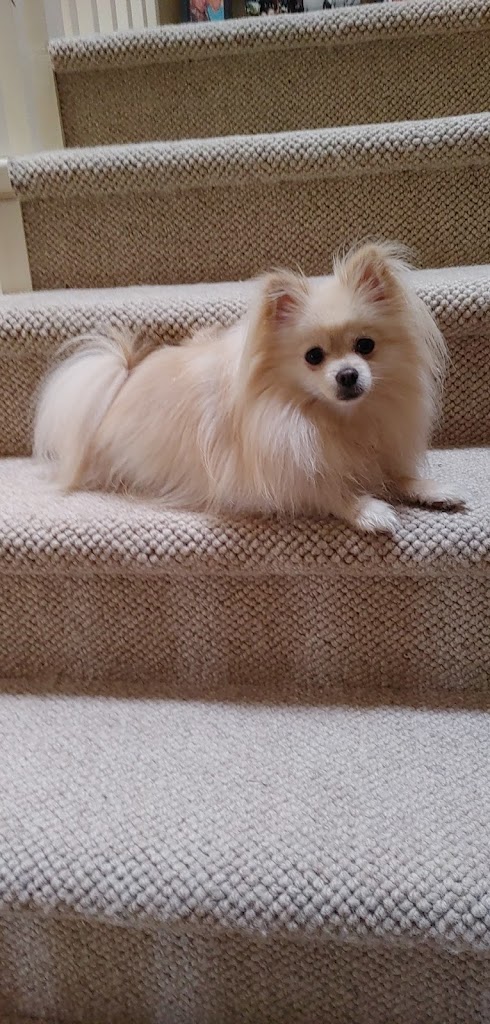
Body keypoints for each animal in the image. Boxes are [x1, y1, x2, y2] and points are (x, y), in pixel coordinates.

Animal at [34, 242, 464, 533]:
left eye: (365, 346)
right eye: (313, 356)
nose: (347, 375)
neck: (333, 419)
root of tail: (125, 375)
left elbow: (396, 474)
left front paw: (431, 489)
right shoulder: (277, 476)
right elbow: (324, 487)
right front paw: (368, 509)